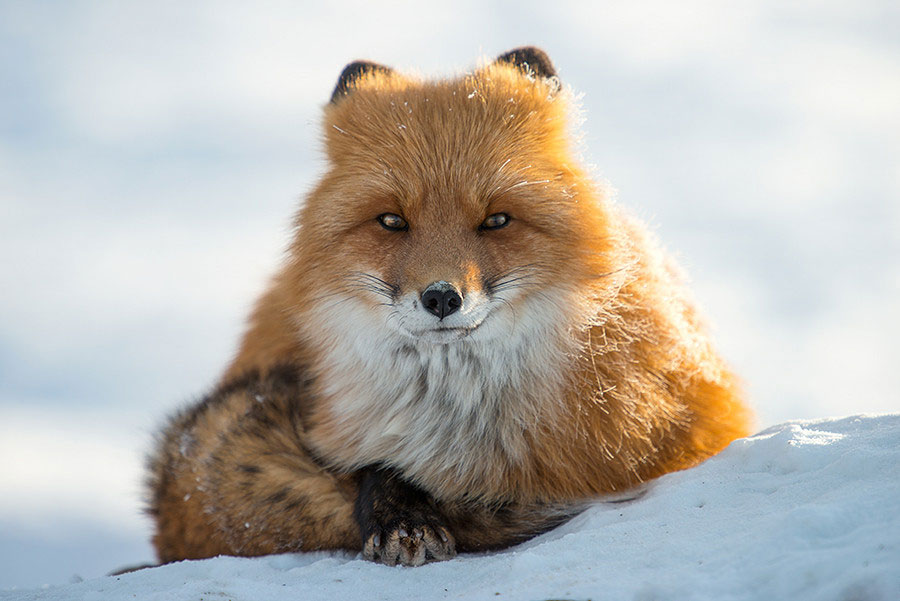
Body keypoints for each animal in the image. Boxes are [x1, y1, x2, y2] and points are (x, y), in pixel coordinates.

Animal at [146, 47, 752, 567]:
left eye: (496, 220)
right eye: (392, 220)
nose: (440, 297)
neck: (461, 429)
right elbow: (368, 469)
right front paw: (400, 513)